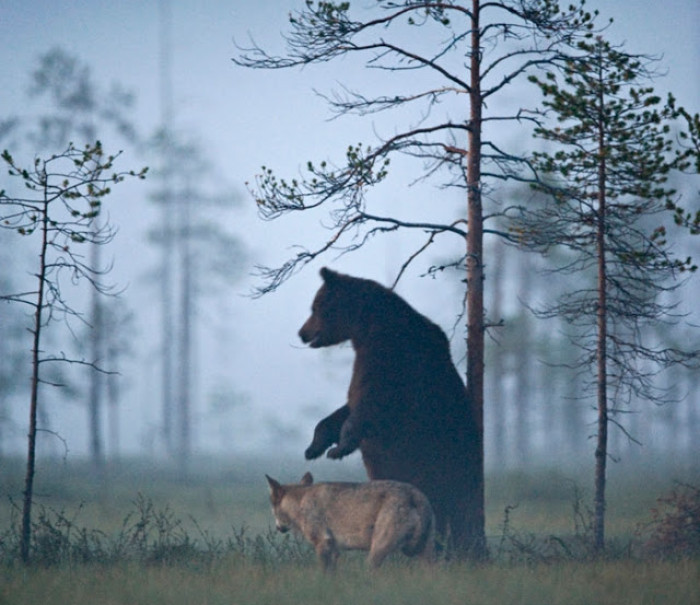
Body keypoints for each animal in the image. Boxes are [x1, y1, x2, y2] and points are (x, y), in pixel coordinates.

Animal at [296, 266, 482, 548]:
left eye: (316, 307)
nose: (302, 332)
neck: (366, 328)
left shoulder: (389, 358)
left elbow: (370, 403)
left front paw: (339, 448)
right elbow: (346, 407)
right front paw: (314, 447)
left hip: (439, 461)